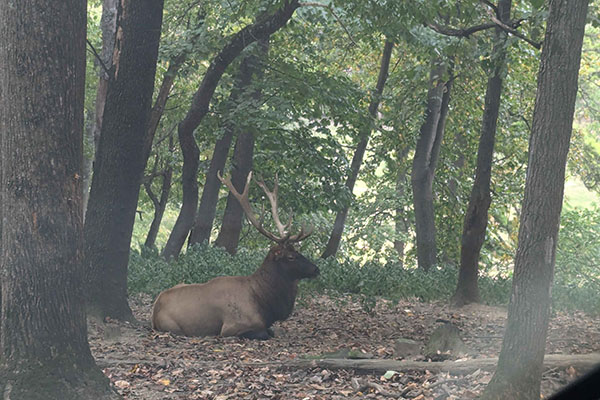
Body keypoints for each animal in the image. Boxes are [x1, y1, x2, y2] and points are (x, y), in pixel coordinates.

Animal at [151, 170, 318, 340]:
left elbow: (272, 331)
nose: (316, 269)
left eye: (298, 251)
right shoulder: (231, 327)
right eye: (290, 257)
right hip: (172, 326)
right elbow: (265, 333)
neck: (264, 304)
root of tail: (154, 309)